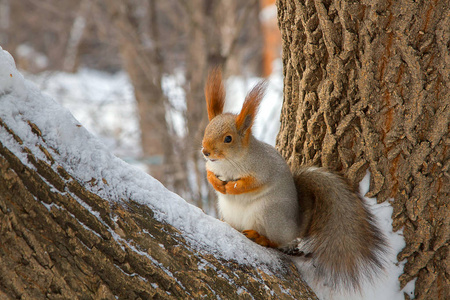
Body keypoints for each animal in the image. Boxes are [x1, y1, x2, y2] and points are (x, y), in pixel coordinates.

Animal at [202, 69, 388, 292]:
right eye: (206, 130)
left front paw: (232, 187)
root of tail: (296, 226)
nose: (205, 151)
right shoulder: (211, 166)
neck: (227, 163)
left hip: (267, 214)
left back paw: (259, 237)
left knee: (276, 241)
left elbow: (251, 183)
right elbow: (208, 174)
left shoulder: (263, 169)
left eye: (228, 139)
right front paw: (216, 183)